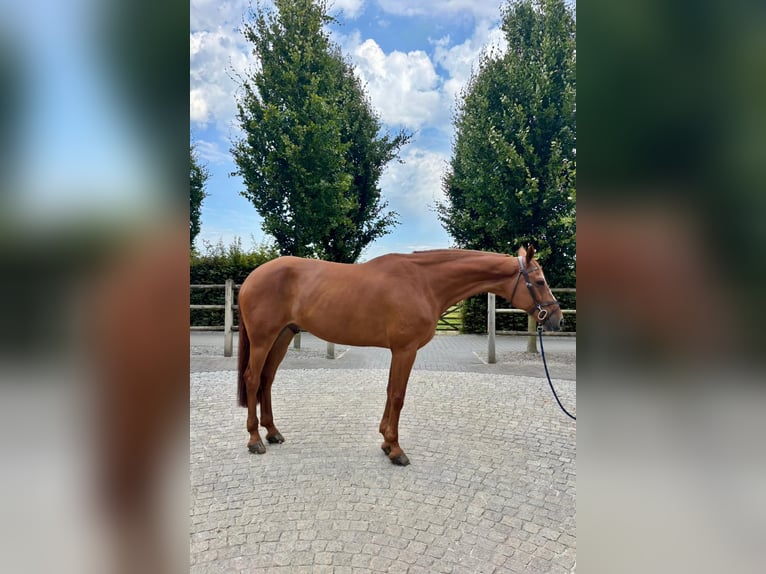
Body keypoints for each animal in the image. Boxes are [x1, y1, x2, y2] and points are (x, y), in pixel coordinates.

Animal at [237, 245, 563, 466]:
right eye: (541, 281)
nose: (557, 319)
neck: (424, 282)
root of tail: (252, 276)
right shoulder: (405, 350)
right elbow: (397, 395)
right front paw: (395, 449)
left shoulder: (399, 351)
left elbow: (390, 391)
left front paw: (385, 440)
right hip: (264, 338)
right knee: (253, 379)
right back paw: (254, 440)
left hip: (283, 336)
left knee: (267, 379)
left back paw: (272, 432)